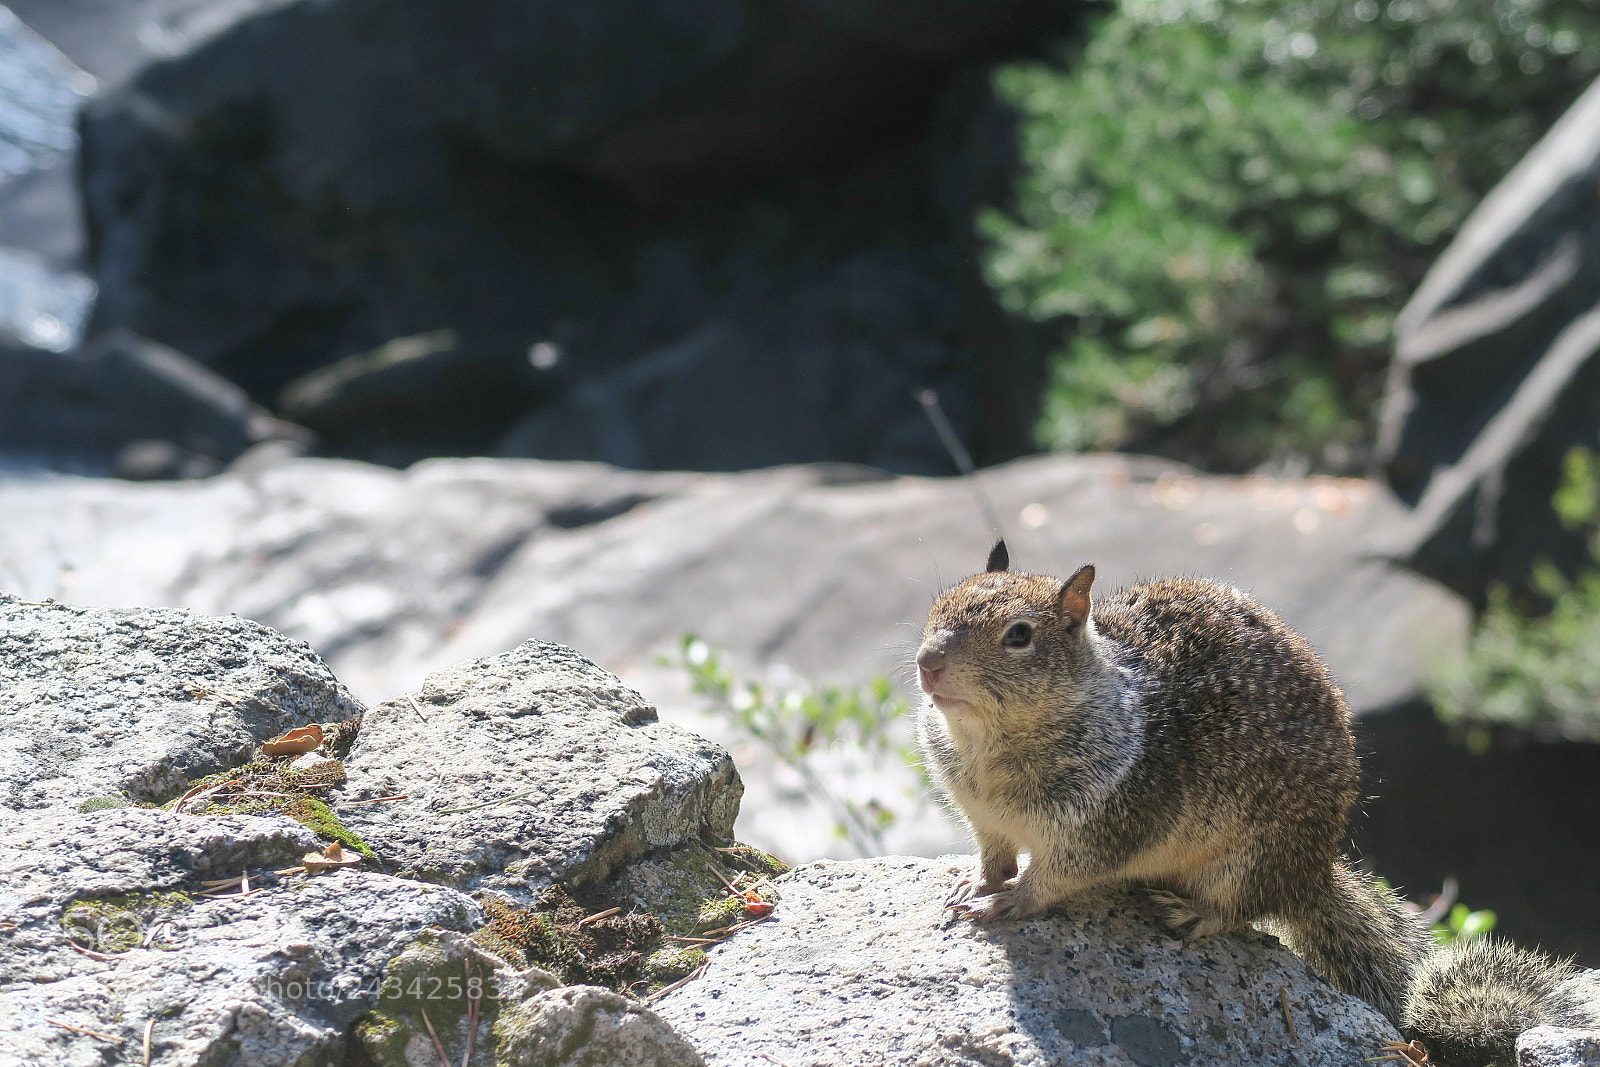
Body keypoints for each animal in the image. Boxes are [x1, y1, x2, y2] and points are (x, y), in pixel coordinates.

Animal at [914, 540, 1600, 1067]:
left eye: (1019, 636)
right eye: (937, 606)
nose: (927, 663)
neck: (988, 749)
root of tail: (1311, 876)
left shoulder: (1108, 822)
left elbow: (1053, 878)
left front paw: (1007, 901)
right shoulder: (980, 816)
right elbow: (993, 854)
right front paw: (973, 882)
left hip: (1245, 861)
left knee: (1240, 910)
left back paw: (1192, 913)